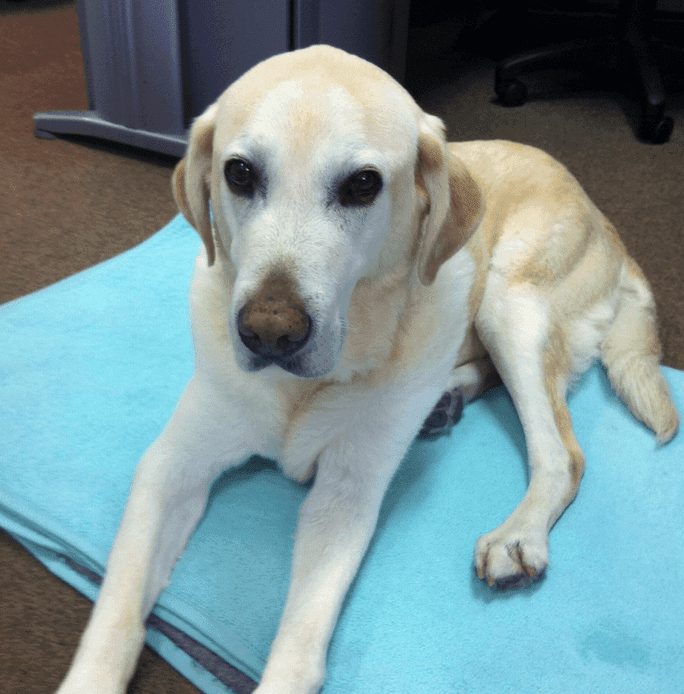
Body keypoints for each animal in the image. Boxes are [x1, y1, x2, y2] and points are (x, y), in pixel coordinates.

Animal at [57, 44, 680, 694]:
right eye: (240, 174)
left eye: (362, 184)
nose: (269, 331)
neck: (301, 388)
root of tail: (599, 212)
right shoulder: (170, 466)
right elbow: (117, 607)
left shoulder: (344, 495)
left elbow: (298, 644)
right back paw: (445, 399)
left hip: (510, 300)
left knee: (562, 454)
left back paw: (516, 534)